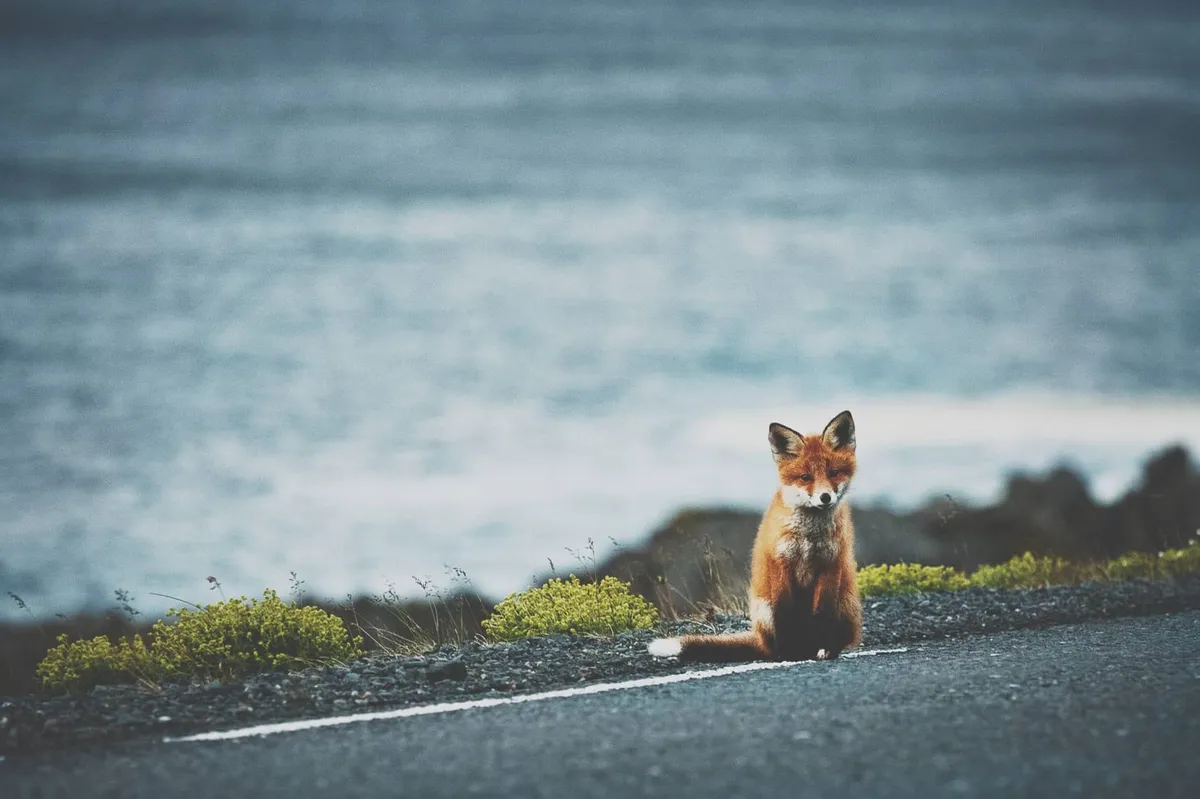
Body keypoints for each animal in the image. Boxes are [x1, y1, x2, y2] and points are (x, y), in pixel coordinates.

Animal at [648, 410, 862, 662]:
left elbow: (822, 613)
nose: (825, 497)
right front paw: (788, 653)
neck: (809, 537)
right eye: (806, 477)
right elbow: (784, 613)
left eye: (833, 473)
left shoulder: (830, 565)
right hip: (764, 609)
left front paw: (824, 649)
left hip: (845, 604)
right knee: (773, 642)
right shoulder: (780, 562)